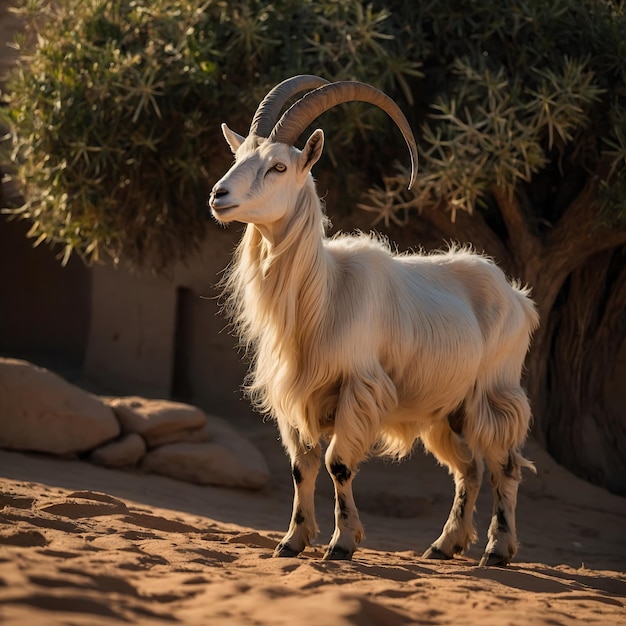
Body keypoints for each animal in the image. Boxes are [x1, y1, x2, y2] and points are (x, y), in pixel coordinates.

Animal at [208, 75, 536, 564]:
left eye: (278, 167)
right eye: (239, 156)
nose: (218, 196)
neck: (323, 296)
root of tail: (517, 297)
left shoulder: (358, 388)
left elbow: (337, 464)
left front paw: (342, 544)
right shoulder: (294, 396)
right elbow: (301, 468)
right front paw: (292, 542)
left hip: (493, 393)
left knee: (504, 466)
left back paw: (496, 551)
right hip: (446, 410)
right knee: (470, 469)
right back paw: (444, 546)